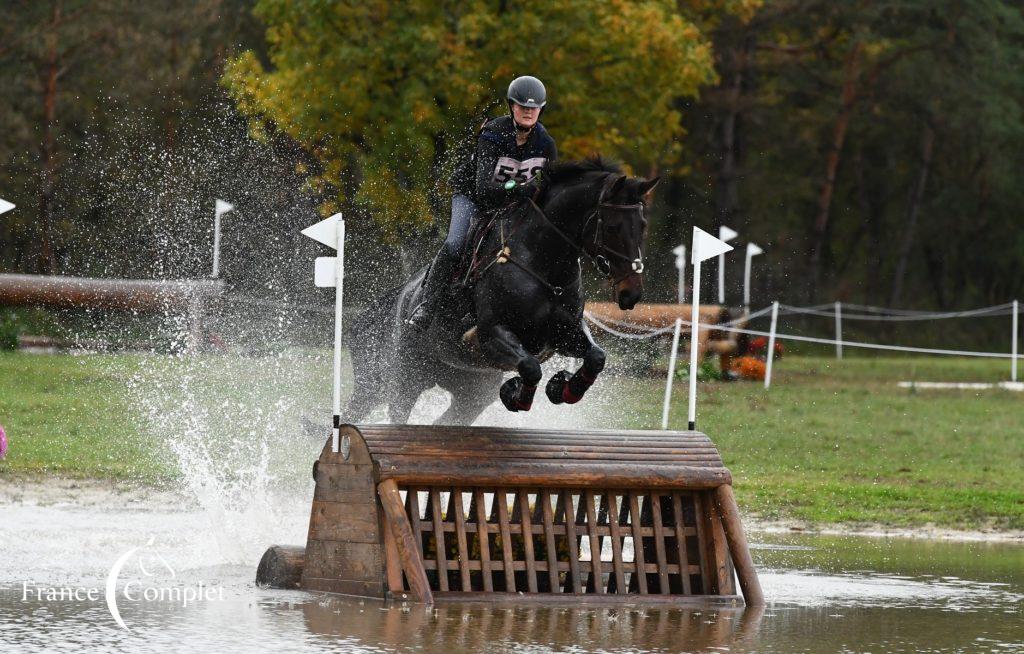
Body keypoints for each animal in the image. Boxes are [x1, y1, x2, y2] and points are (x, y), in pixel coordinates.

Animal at [348, 157, 659, 425]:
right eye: (613, 227)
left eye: (643, 225)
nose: (631, 294)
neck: (542, 262)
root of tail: (402, 295)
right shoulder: (491, 335)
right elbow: (531, 366)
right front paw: (516, 395)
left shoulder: (564, 332)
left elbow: (596, 357)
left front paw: (562, 389)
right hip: (406, 377)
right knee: (392, 412)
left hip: (471, 391)